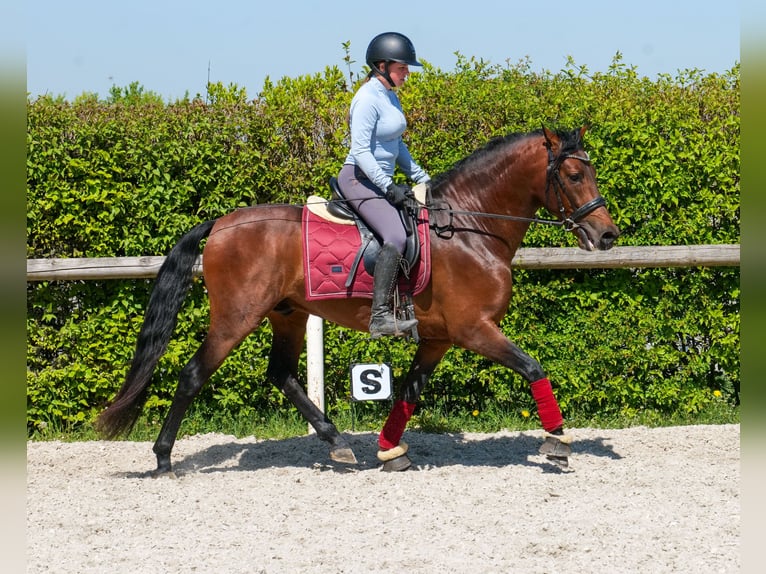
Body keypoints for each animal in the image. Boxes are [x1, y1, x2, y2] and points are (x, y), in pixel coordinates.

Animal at [95, 126, 620, 475]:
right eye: (575, 174)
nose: (608, 235)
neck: (470, 227)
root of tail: (221, 223)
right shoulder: (474, 329)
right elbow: (533, 367)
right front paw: (557, 441)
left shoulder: (439, 338)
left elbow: (408, 391)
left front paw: (390, 451)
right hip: (236, 317)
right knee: (193, 375)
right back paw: (164, 458)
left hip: (287, 315)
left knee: (282, 375)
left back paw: (337, 444)